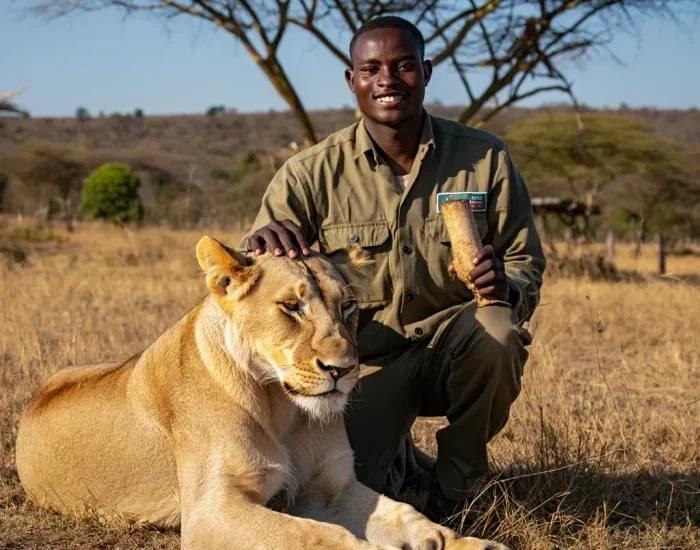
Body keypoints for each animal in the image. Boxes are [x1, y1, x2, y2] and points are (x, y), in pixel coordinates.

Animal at [15, 236, 508, 550]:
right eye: (292, 306)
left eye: (348, 305)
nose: (344, 370)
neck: (281, 408)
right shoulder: (211, 512)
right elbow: (317, 536)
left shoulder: (332, 489)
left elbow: (407, 513)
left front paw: (462, 542)